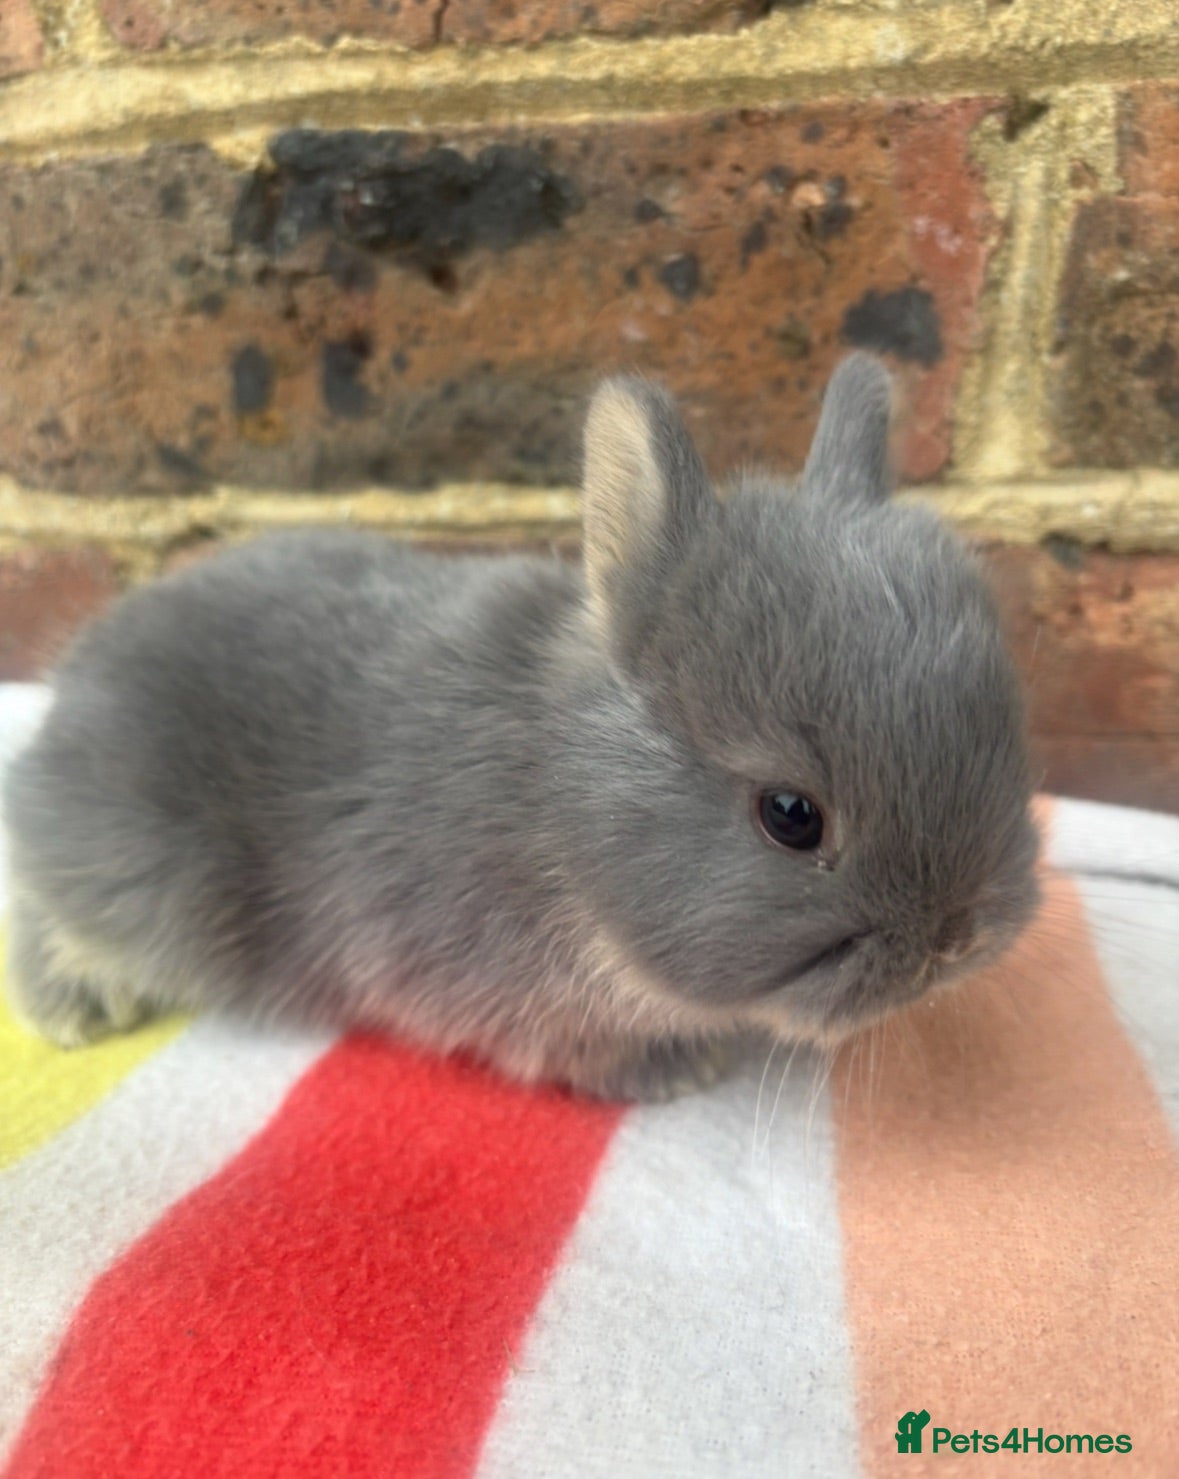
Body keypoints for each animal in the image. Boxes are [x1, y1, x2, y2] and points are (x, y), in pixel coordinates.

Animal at [2, 354, 1039, 1100]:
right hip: (141, 882)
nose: (956, 941)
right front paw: (679, 1071)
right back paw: (73, 1010)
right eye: (789, 814)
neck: (559, 801)